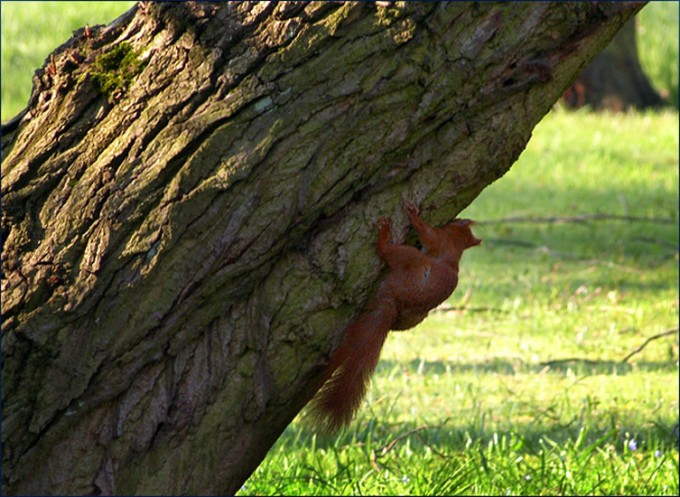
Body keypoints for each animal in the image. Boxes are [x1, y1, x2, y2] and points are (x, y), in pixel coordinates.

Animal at [308, 201, 481, 431]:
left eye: (459, 222)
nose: (459, 217)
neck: (457, 245)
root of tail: (393, 301)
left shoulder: (440, 240)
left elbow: (428, 234)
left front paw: (414, 216)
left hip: (409, 258)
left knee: (388, 252)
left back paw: (383, 237)